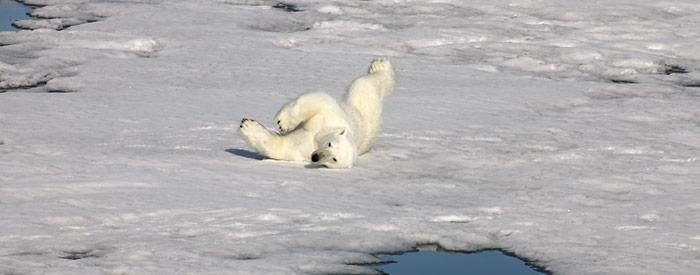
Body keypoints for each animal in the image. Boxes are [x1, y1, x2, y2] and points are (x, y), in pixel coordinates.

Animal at [239, 58, 394, 168]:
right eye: (330, 144)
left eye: (334, 159)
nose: (316, 157)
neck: (318, 138)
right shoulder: (331, 117)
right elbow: (318, 101)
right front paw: (283, 123)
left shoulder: (304, 151)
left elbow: (281, 147)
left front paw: (247, 126)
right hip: (360, 111)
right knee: (363, 85)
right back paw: (379, 66)